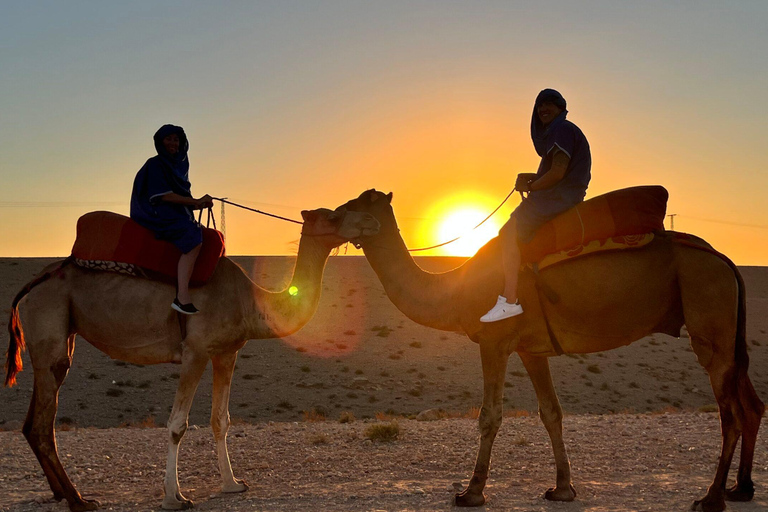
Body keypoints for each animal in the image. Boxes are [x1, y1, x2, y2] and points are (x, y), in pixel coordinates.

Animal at [3, 206, 380, 510]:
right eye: (334, 214)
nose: (370, 222)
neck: (250, 302)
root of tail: (34, 283)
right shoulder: (195, 352)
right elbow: (177, 425)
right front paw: (175, 497)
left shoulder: (226, 352)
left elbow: (220, 420)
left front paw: (232, 484)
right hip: (50, 323)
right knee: (43, 423)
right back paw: (79, 500)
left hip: (60, 335)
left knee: (33, 422)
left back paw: (61, 494)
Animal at [340, 190, 760, 512]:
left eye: (358, 204)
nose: (330, 216)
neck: (456, 290)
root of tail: (723, 259)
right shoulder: (531, 349)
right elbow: (551, 412)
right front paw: (562, 489)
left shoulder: (494, 342)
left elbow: (489, 416)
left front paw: (471, 492)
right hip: (727, 329)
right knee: (751, 404)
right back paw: (741, 489)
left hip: (709, 313)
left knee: (729, 413)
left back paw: (711, 498)